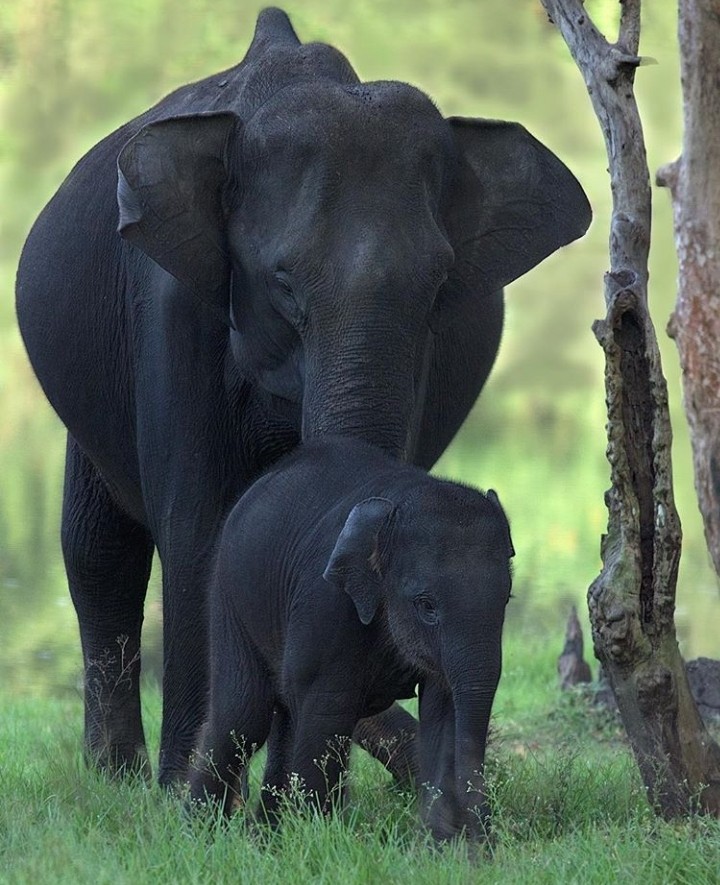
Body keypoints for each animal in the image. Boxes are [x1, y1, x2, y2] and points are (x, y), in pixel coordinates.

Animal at [15, 7, 590, 785]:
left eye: (441, 284)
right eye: (283, 282)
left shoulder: (424, 353)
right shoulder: (168, 307)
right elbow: (199, 528)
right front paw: (180, 786)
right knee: (96, 546)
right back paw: (117, 773)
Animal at [189, 436, 514, 844]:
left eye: (508, 598)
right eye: (426, 605)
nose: (486, 841)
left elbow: (443, 709)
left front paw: (438, 846)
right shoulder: (325, 602)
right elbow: (330, 708)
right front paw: (317, 836)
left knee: (284, 713)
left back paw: (265, 838)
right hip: (229, 594)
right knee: (243, 714)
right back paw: (197, 833)